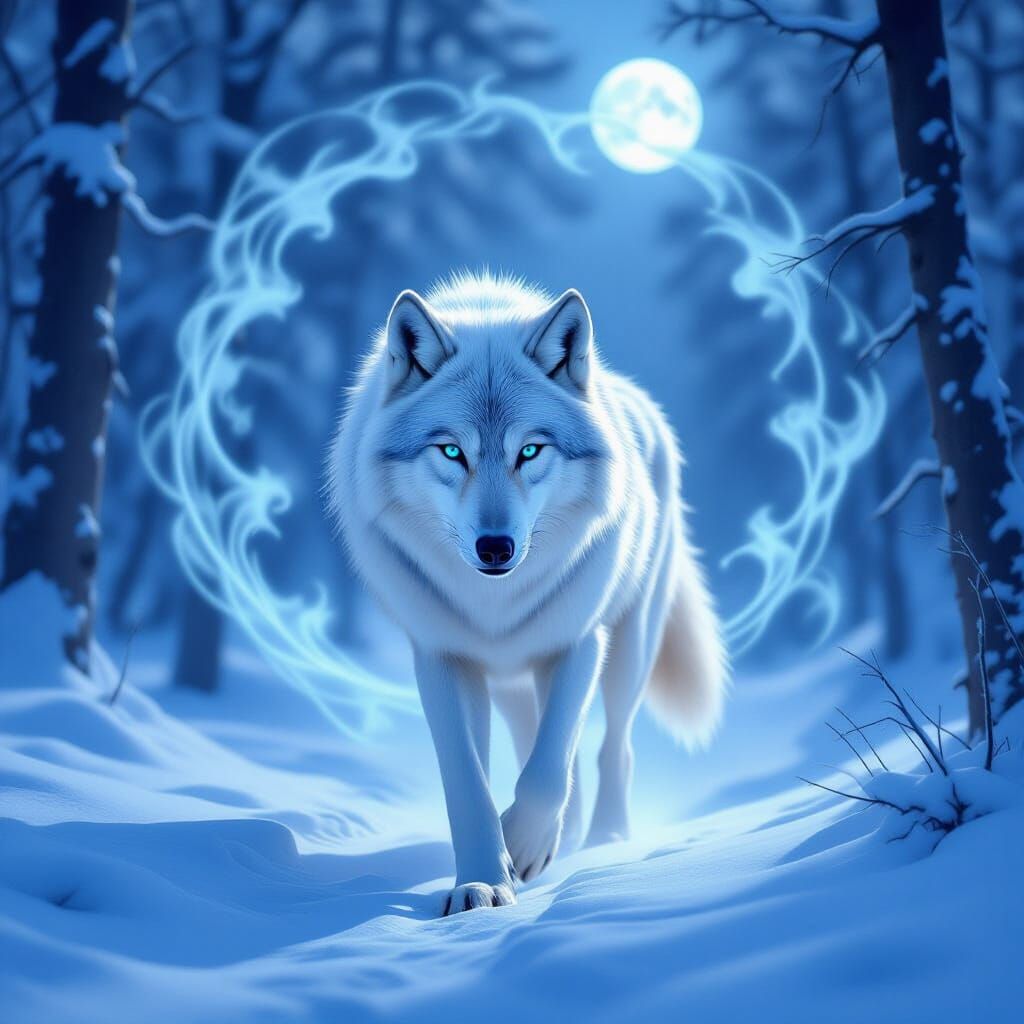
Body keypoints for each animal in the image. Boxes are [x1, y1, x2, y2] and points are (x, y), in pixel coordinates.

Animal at [329, 271, 726, 915]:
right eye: (452, 451)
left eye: (530, 451)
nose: (496, 548)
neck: (494, 605)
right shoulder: (442, 658)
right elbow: (469, 781)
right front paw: (481, 883)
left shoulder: (579, 644)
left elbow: (545, 774)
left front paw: (521, 844)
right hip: (514, 685)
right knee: (540, 749)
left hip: (628, 650)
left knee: (608, 749)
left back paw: (604, 838)